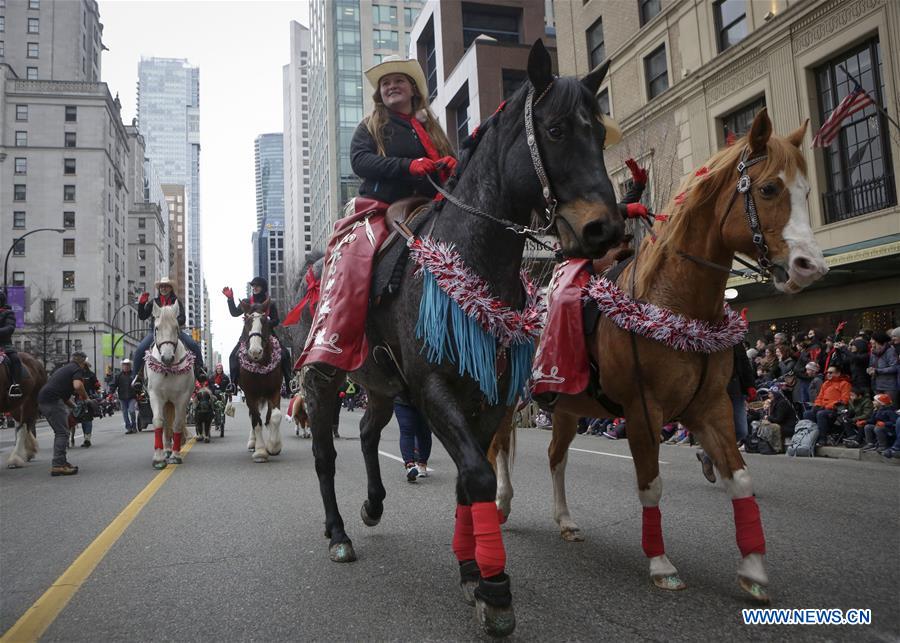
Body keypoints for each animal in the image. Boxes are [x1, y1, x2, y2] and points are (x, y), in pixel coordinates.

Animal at [146, 304, 195, 470]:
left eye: (176, 328)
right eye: (156, 328)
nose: (167, 358)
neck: (168, 369)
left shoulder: (183, 398)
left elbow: (178, 424)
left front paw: (176, 455)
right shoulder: (155, 395)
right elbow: (158, 421)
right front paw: (158, 458)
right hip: (166, 401)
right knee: (166, 424)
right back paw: (166, 450)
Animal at [239, 302, 284, 462]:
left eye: (265, 322)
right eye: (246, 322)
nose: (255, 352)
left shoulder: (275, 391)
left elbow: (275, 416)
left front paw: (273, 446)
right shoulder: (250, 395)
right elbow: (256, 421)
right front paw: (260, 451)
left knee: (269, 416)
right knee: (254, 416)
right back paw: (253, 442)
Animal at [298, 41, 624, 640]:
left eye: (600, 131)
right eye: (556, 129)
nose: (604, 230)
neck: (471, 256)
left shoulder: (490, 395)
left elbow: (468, 481)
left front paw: (472, 568)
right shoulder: (433, 389)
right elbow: (474, 475)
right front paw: (494, 589)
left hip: (380, 385)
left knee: (368, 432)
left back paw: (373, 506)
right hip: (324, 376)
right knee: (325, 455)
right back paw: (339, 533)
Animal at [496, 110, 828, 604]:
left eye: (806, 192)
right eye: (769, 188)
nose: (811, 267)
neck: (675, 305)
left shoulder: (711, 408)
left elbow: (740, 479)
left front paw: (753, 571)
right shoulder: (643, 412)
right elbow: (650, 486)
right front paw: (660, 564)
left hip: (568, 408)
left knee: (556, 457)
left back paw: (566, 520)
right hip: (505, 399)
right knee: (497, 446)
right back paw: (500, 503)